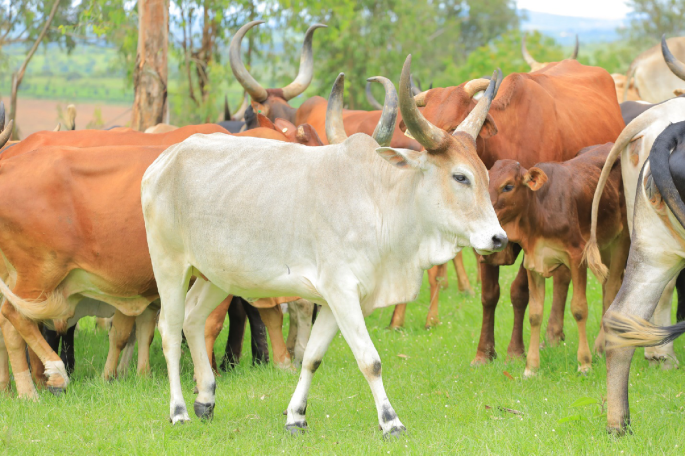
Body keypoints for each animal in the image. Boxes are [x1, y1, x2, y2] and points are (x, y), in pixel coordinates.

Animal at [139, 55, 506, 435]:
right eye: (460, 176)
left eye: (485, 175)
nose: (498, 238)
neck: (379, 200)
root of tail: (164, 160)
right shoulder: (341, 291)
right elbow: (370, 360)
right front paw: (390, 420)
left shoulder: (336, 299)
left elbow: (313, 358)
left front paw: (296, 416)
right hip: (169, 265)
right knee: (169, 330)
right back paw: (179, 410)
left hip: (215, 275)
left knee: (194, 318)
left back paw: (206, 399)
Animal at [488, 144, 629, 376]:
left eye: (508, 186)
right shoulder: (532, 262)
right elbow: (535, 313)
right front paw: (531, 368)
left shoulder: (577, 255)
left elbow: (579, 309)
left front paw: (584, 363)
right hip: (604, 245)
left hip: (621, 240)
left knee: (611, 291)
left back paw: (602, 346)